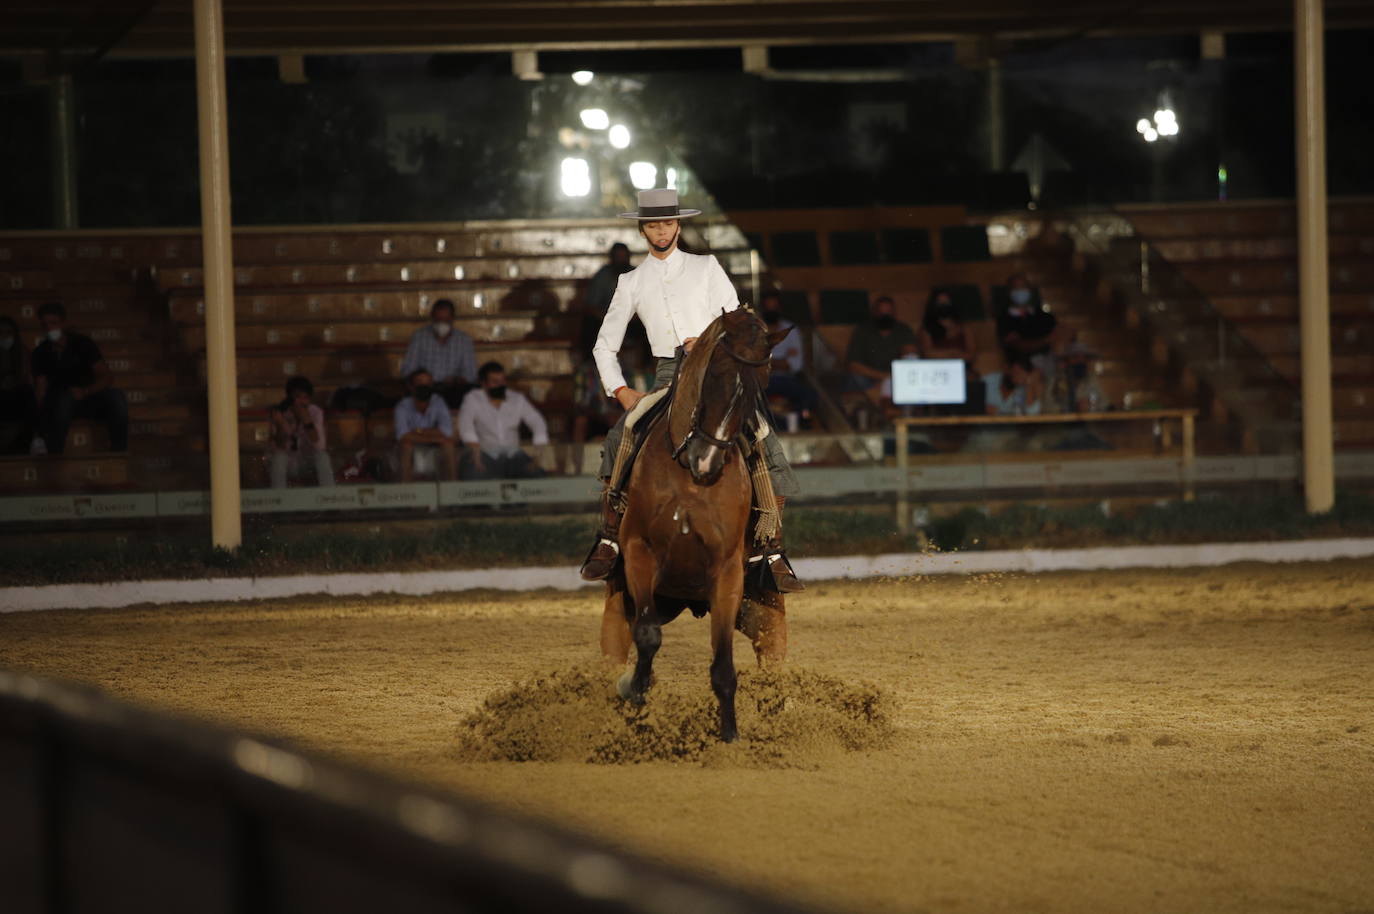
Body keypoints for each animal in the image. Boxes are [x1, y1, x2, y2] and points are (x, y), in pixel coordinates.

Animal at [599, 306, 791, 742]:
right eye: (715, 372)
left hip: (763, 608)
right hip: (620, 603)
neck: (689, 476)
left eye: (763, 379)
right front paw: (635, 691)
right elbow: (648, 637)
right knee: (618, 649)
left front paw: (730, 737)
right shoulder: (639, 554)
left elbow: (723, 668)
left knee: (772, 663)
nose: (708, 459)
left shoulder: (727, 573)